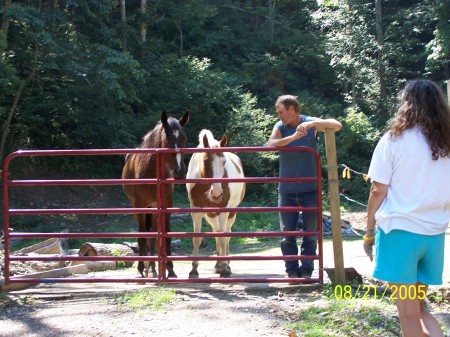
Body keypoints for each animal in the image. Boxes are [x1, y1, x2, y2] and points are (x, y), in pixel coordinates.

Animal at [121, 111, 188, 278]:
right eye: (166, 139)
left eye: (184, 138)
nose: (180, 171)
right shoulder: (139, 205)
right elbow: (141, 236)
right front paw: (139, 270)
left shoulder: (165, 205)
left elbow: (165, 236)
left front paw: (170, 270)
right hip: (139, 207)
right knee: (146, 233)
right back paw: (146, 267)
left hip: (153, 208)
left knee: (152, 234)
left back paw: (152, 268)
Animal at [185, 128, 244, 276]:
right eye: (206, 161)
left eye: (223, 162)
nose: (217, 193)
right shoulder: (196, 209)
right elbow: (197, 239)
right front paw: (193, 270)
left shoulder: (223, 210)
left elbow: (223, 238)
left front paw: (225, 269)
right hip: (211, 214)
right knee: (217, 231)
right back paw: (218, 265)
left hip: (231, 213)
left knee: (226, 234)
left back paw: (226, 265)